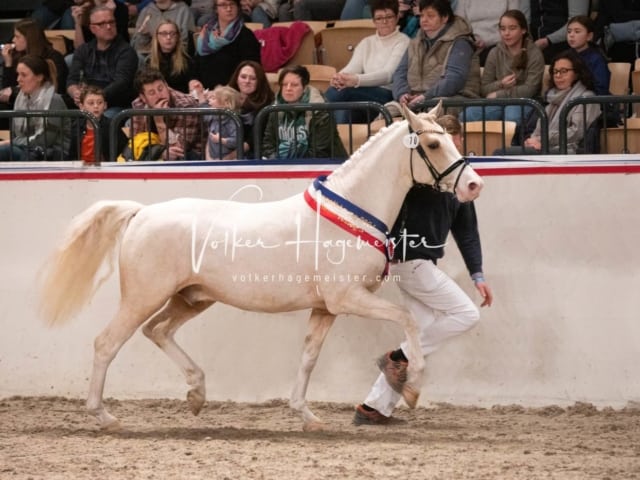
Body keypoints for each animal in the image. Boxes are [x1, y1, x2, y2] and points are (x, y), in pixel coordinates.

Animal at [37, 104, 482, 432]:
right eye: (432, 143)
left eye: (450, 139)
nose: (473, 185)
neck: (350, 212)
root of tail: (141, 213)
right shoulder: (348, 298)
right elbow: (407, 319)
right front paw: (412, 388)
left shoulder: (325, 308)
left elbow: (309, 357)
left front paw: (307, 415)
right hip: (143, 297)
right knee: (107, 343)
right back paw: (104, 415)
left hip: (191, 299)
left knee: (157, 331)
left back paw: (196, 395)